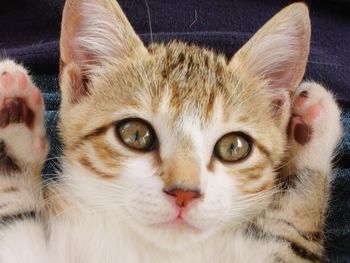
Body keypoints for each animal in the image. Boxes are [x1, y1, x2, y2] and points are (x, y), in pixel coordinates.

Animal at [0, 1, 342, 262]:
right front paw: (13, 133)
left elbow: (293, 231)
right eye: (135, 134)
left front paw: (311, 135)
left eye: (234, 147)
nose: (184, 193)